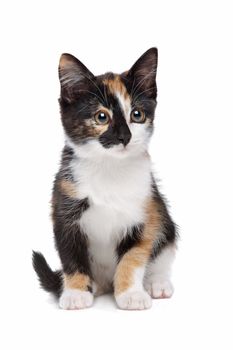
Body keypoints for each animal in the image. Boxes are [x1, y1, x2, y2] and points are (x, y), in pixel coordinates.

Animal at [32, 47, 177, 310]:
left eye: (137, 115)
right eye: (101, 117)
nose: (124, 137)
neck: (110, 168)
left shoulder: (146, 212)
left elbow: (133, 257)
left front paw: (131, 294)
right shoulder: (64, 206)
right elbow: (71, 255)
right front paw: (75, 293)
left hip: (164, 219)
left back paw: (157, 283)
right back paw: (93, 286)